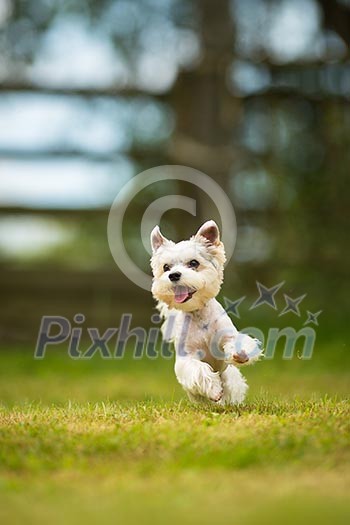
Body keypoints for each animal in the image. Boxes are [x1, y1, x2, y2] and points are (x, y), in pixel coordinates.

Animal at [150, 218, 262, 406]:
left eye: (194, 263)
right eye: (166, 267)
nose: (173, 275)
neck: (198, 313)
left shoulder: (227, 336)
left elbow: (236, 343)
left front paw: (240, 354)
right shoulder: (187, 357)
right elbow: (199, 370)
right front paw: (215, 390)